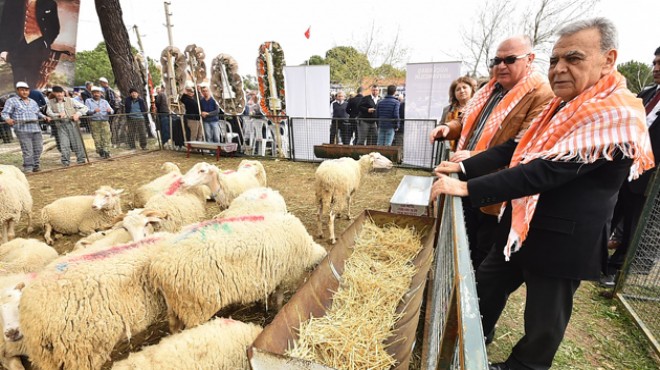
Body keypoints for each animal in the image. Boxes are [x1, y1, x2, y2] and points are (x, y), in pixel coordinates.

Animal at [148, 211, 326, 332]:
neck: (308, 250)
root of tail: (159, 266)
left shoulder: (270, 276)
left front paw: (263, 303)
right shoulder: (284, 275)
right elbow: (279, 297)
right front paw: (277, 308)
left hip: (175, 304)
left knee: (174, 327)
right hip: (195, 307)